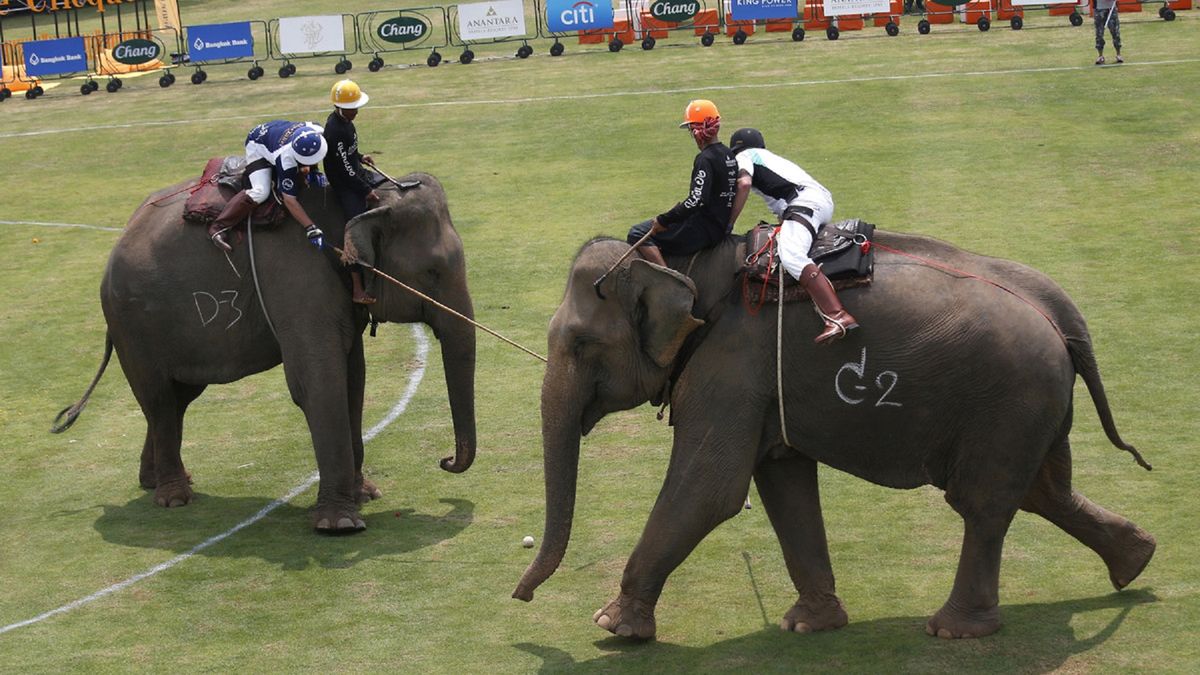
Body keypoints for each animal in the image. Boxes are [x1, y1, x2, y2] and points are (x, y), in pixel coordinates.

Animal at [54, 170, 477, 533]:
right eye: (433, 272)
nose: (444, 461)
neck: (355, 199)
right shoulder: (297, 277)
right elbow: (317, 383)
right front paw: (341, 524)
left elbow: (353, 380)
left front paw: (366, 495)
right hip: (134, 325)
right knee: (158, 398)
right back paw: (174, 497)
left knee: (178, 398)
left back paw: (155, 481)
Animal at [513, 229, 1152, 634]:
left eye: (579, 344)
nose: (519, 596)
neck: (685, 262)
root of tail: (1061, 312)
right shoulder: (759, 381)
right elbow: (782, 480)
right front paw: (809, 625)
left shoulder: (731, 365)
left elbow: (709, 490)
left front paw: (612, 626)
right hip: (1032, 407)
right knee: (1045, 490)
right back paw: (1136, 563)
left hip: (1009, 400)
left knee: (984, 504)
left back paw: (954, 631)